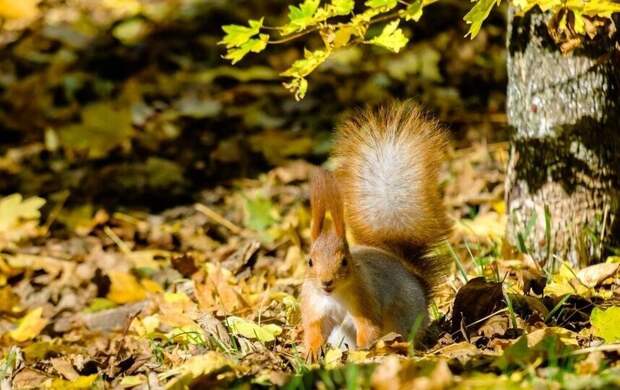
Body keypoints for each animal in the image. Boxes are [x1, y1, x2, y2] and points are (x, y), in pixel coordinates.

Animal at [300, 100, 450, 360]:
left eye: (345, 261)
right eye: (310, 261)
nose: (326, 282)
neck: (333, 296)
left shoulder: (365, 299)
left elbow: (368, 328)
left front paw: (363, 351)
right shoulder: (313, 305)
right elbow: (314, 329)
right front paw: (310, 352)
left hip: (403, 317)